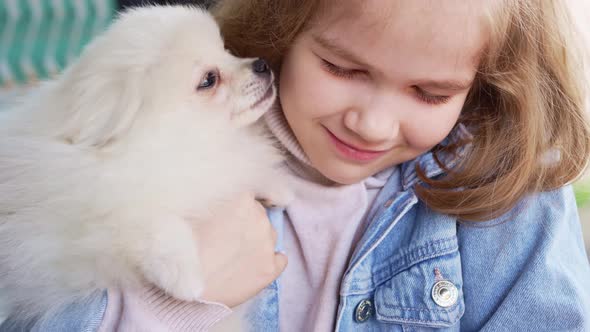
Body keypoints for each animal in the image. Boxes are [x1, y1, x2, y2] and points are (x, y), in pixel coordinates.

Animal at [0, 4, 290, 322]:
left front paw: (275, 186)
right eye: (208, 80)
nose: (262, 64)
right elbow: (147, 220)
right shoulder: (76, 224)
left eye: (226, 51)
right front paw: (183, 275)